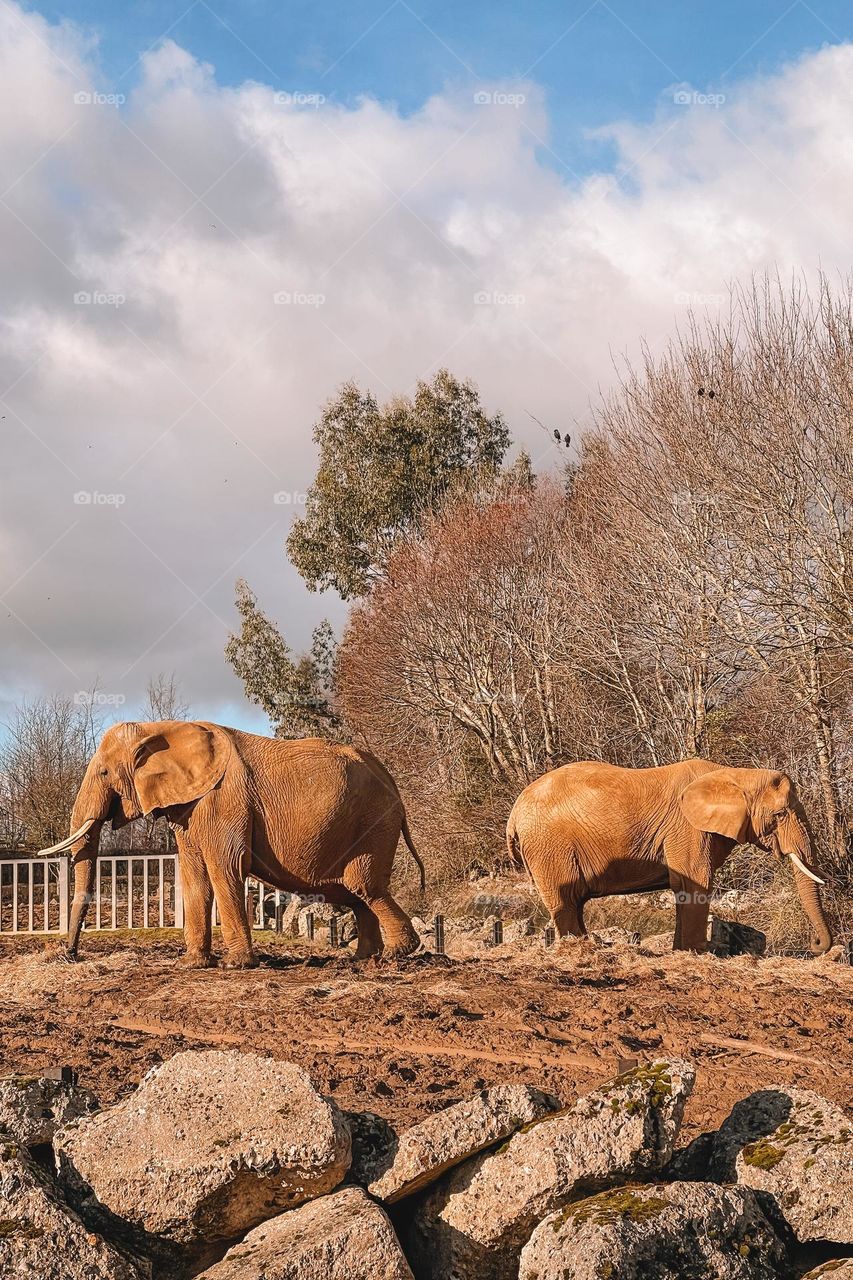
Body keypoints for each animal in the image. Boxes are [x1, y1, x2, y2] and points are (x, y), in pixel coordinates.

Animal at [39, 721, 425, 967]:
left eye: (104, 773)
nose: (68, 955)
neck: (158, 728)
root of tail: (397, 789)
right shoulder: (190, 806)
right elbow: (195, 876)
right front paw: (192, 965)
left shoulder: (223, 799)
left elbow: (225, 868)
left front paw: (234, 965)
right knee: (355, 894)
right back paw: (362, 959)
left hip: (374, 822)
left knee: (364, 886)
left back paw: (396, 955)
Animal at [504, 752, 829, 957]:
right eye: (780, 814)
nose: (814, 945)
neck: (736, 774)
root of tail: (513, 814)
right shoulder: (687, 828)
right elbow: (696, 883)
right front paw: (699, 955)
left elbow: (684, 888)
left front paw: (682, 952)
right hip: (549, 847)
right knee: (566, 901)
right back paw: (579, 951)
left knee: (573, 903)